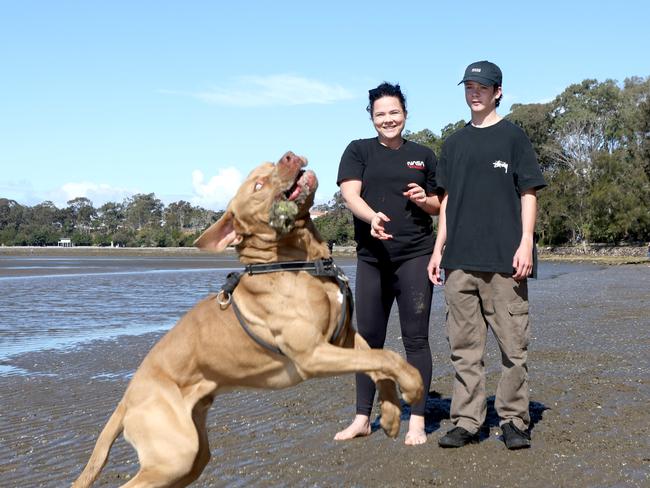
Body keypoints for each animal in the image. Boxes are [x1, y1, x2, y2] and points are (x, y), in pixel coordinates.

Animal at [73, 152, 422, 488]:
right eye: (257, 186)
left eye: (269, 166)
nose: (289, 155)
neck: (301, 261)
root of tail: (126, 400)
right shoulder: (313, 354)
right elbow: (388, 357)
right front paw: (414, 387)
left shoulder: (345, 337)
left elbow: (379, 362)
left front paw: (391, 415)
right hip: (176, 455)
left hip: (193, 456)